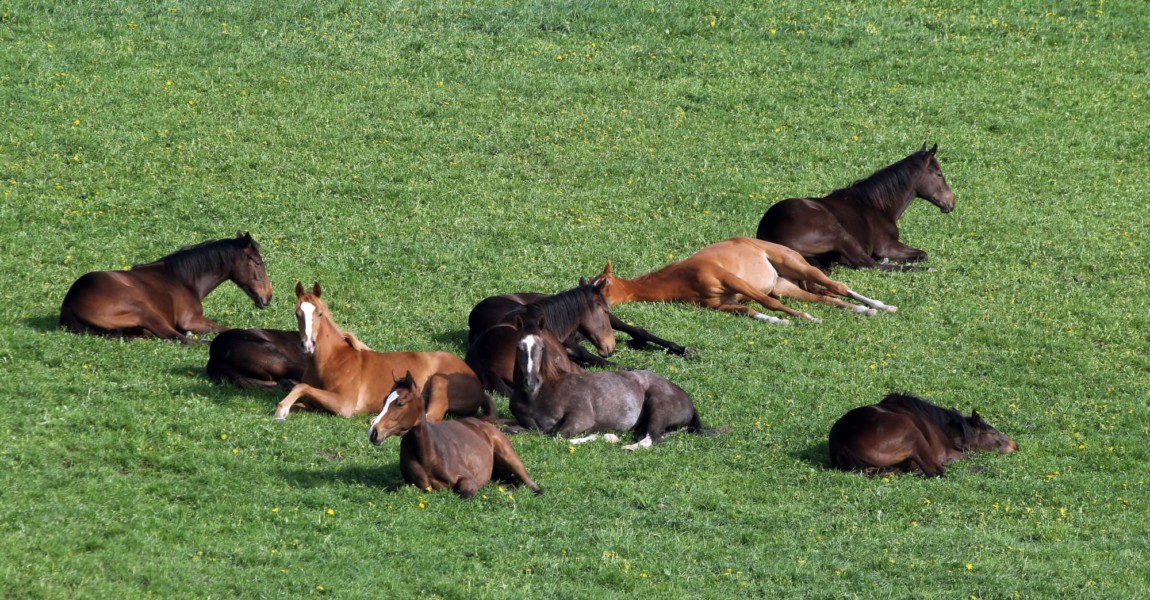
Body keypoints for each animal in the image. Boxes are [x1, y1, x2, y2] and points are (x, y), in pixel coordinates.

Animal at [278, 281, 499, 418]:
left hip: (438, 382)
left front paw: (281, 409)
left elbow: (301, 386)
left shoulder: (344, 404)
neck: (333, 359)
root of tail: (475, 379)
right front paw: (286, 408)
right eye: (297, 313)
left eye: (320, 314)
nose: (307, 345)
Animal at [370, 370, 545, 496]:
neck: (428, 455)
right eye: (385, 400)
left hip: (508, 455)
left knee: (533, 485)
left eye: (400, 403)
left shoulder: (468, 480)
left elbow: (465, 492)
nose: (373, 432)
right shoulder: (414, 485)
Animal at [593, 235, 897, 324]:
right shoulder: (720, 304)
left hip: (798, 268)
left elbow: (766, 303)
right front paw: (778, 321)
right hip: (785, 286)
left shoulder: (735, 283)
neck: (682, 276)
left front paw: (805, 319)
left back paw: (882, 306)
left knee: (839, 287)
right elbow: (750, 311)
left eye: (600, 287)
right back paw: (863, 310)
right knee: (826, 297)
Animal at [759, 143, 956, 270]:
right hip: (839, 234)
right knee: (868, 265)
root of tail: (770, 235)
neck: (875, 205)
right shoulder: (887, 245)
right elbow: (922, 254)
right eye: (939, 174)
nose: (951, 202)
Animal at [828, 393, 1016, 475]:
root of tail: (841, 442)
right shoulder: (943, 452)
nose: (1015, 445)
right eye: (991, 433)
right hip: (912, 435)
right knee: (936, 471)